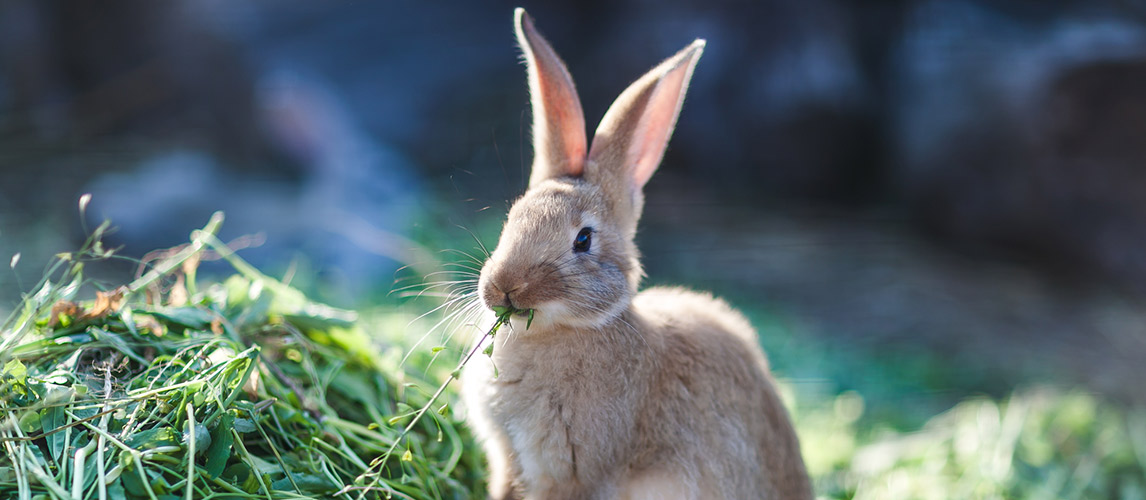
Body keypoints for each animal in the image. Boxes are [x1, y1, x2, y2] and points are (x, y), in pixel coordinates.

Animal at [458, 8, 815, 499]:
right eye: (512, 218)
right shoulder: (507, 460)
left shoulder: (570, 473)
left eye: (583, 240)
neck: (565, 328)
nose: (504, 290)